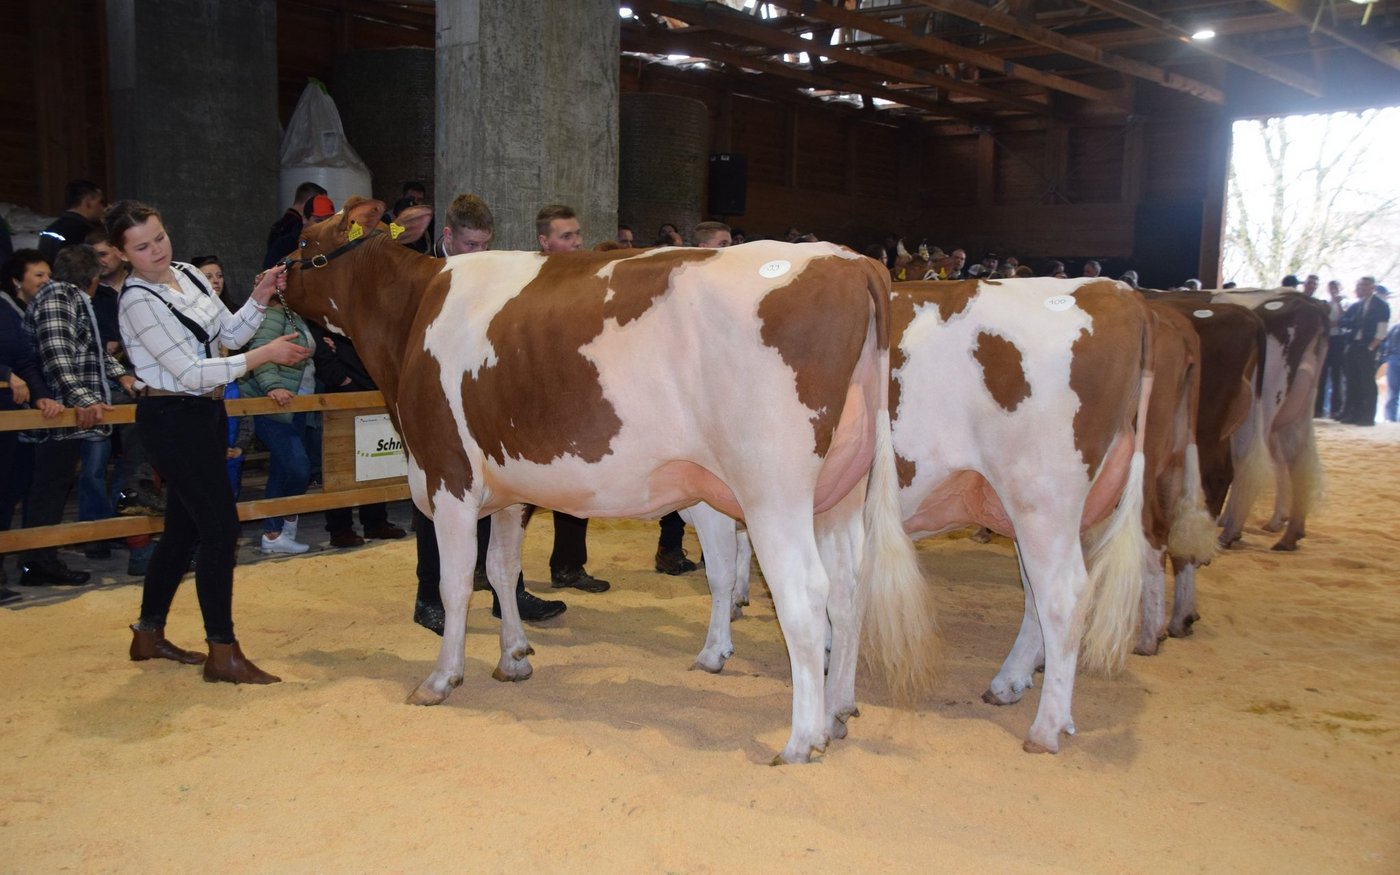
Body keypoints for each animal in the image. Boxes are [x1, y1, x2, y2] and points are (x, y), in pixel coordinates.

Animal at [283, 197, 937, 764]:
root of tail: (847, 261)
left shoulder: (448, 476)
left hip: (774, 492)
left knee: (806, 595)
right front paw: (514, 656)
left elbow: (455, 583)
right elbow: (501, 570)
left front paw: (442, 677)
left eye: (305, 243)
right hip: (839, 493)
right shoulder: (511, 487)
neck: (415, 313)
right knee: (849, 591)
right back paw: (839, 708)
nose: (273, 278)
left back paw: (802, 739)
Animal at [698, 277, 1156, 754]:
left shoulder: (717, 496)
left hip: (1043, 502)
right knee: (1039, 596)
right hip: (1037, 516)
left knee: (1063, 597)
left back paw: (1046, 726)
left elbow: (721, 572)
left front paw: (716, 650)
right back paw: (1012, 681)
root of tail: (1115, 291)